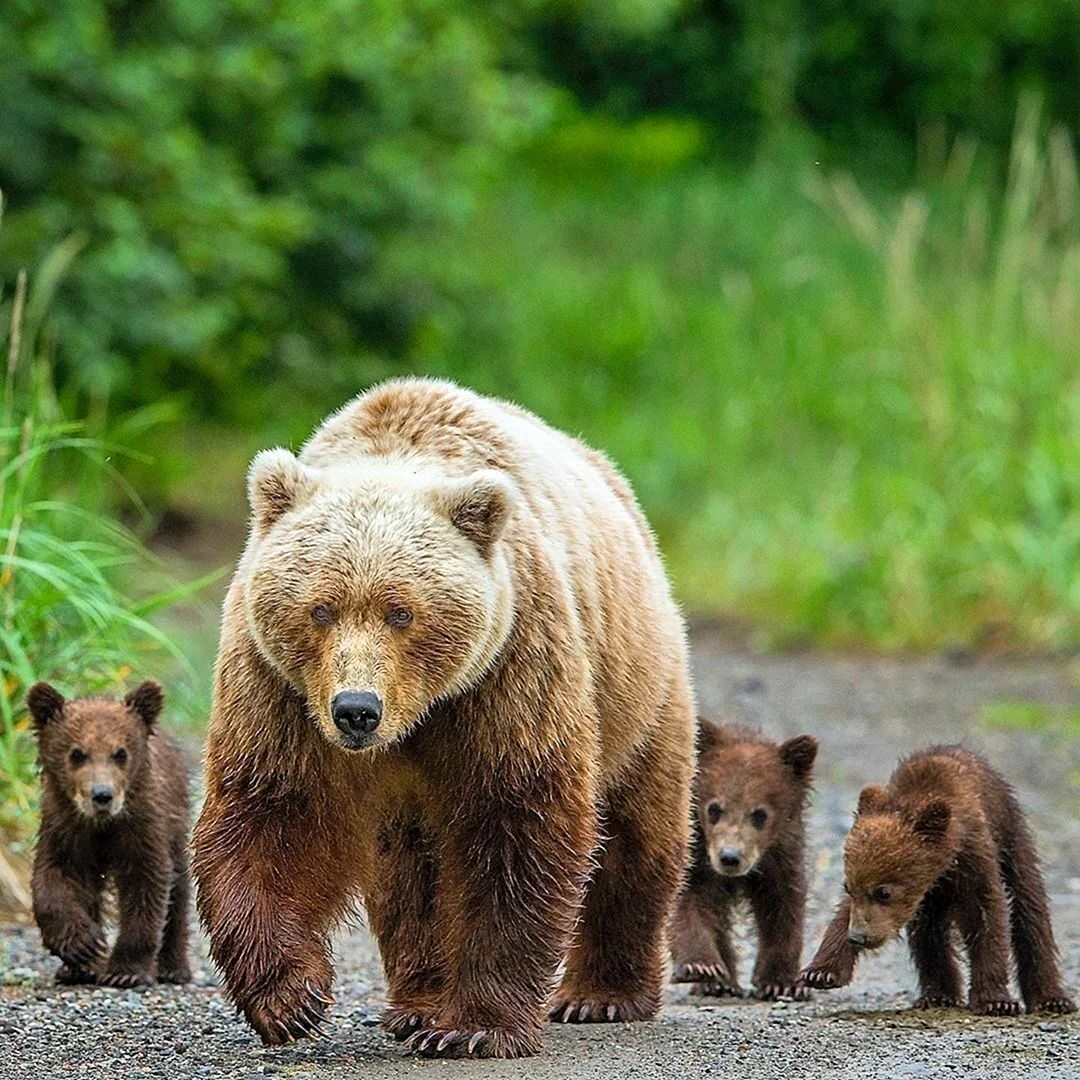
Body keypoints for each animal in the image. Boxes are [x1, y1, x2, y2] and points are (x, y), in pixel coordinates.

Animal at [192, 378, 699, 1054]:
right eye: (321, 609)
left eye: (401, 612)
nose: (357, 711)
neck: (419, 715)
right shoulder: (280, 689)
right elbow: (274, 812)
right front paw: (291, 997)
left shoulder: (508, 665)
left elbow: (516, 821)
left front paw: (476, 1026)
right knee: (411, 873)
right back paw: (417, 1003)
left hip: (639, 689)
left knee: (637, 836)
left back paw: (601, 994)